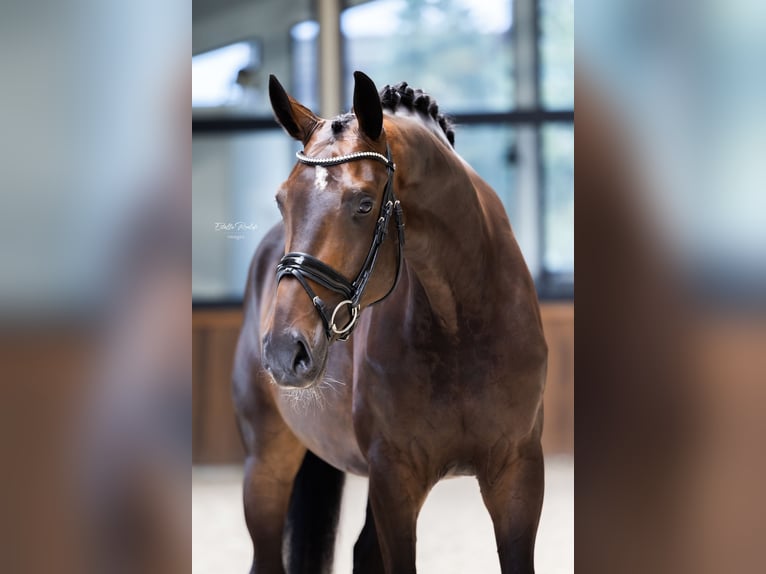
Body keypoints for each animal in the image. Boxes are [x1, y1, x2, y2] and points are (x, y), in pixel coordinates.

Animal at [231, 72, 548, 574]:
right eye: (282, 200)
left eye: (364, 204)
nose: (284, 353)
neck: (460, 324)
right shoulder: (393, 480)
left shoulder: (518, 475)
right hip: (266, 465)